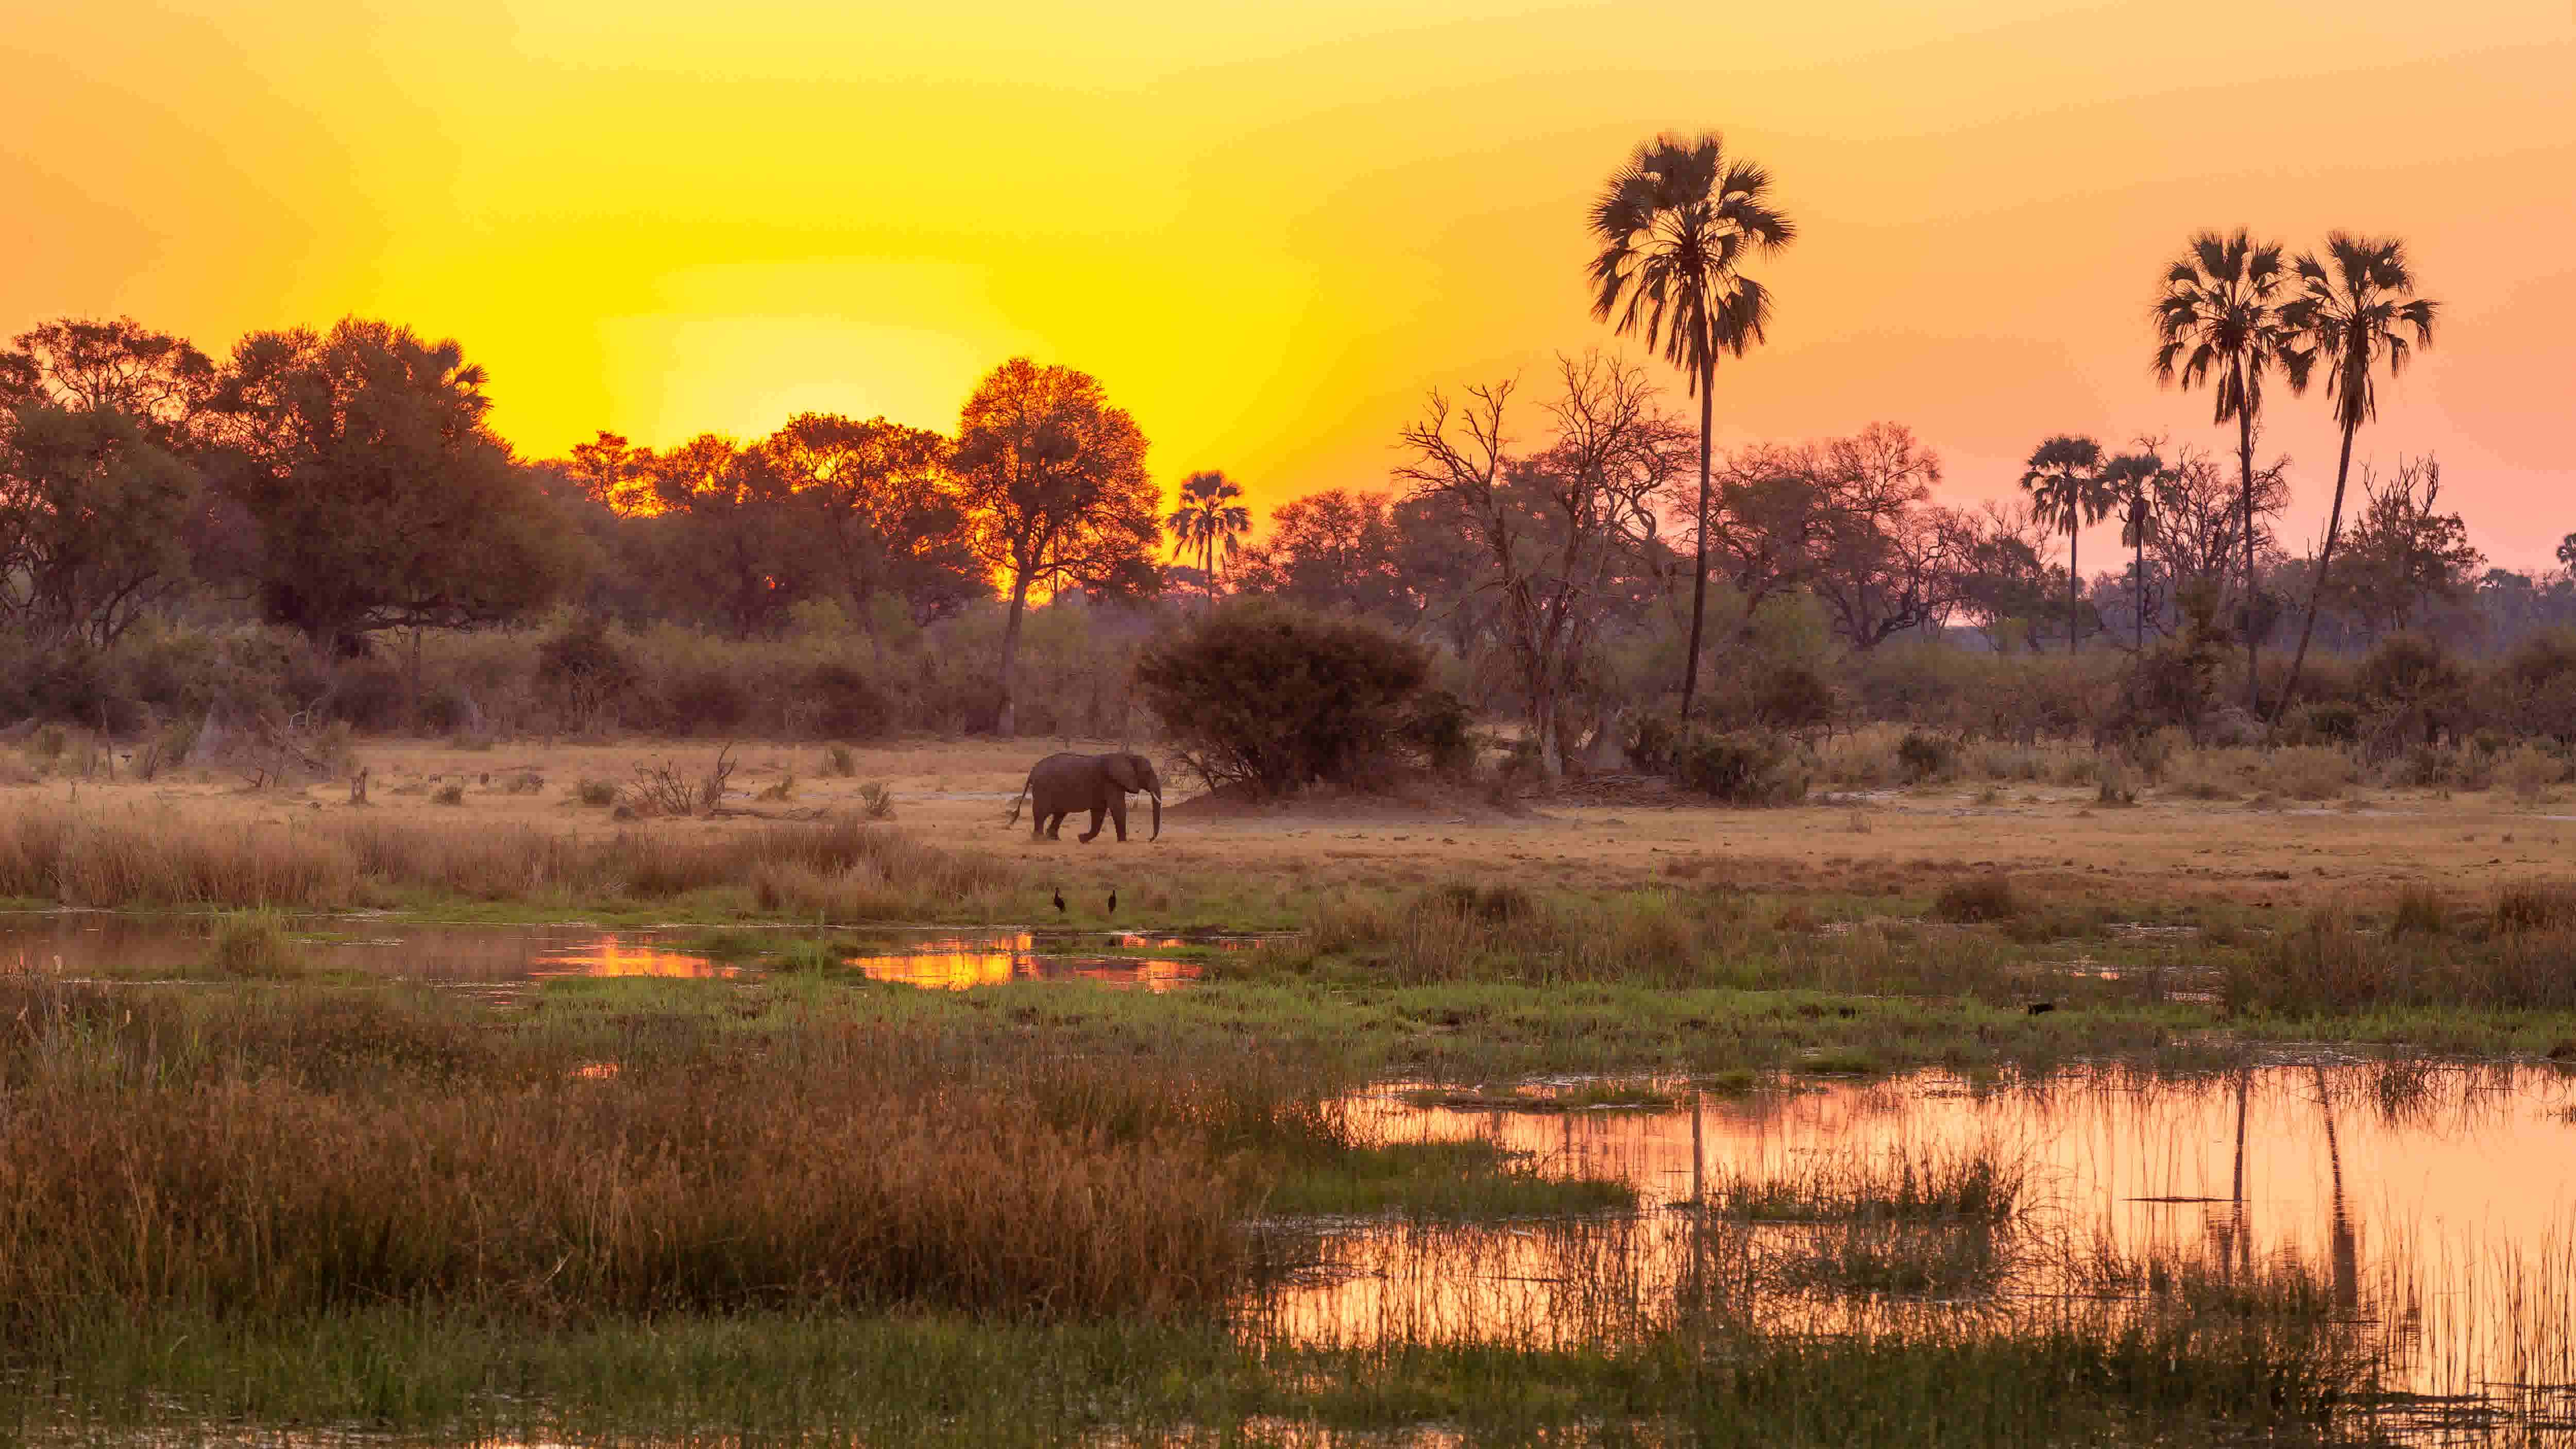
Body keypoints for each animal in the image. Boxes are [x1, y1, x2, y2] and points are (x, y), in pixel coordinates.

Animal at [1005, 748, 1170, 840]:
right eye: (1147, 772)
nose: (1149, 839)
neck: (1126, 756)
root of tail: (1032, 771)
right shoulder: (1111, 781)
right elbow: (1117, 808)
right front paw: (1123, 841)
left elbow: (1099, 811)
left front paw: (1082, 839)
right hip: (1043, 788)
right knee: (1042, 813)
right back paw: (1039, 838)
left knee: (1060, 813)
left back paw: (1053, 838)